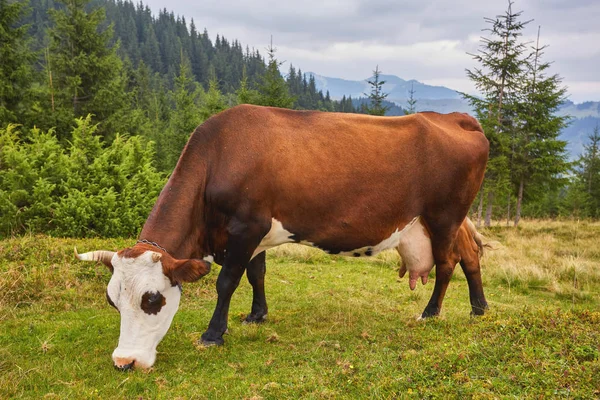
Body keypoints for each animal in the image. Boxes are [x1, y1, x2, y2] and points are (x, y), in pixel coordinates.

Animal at [75, 104, 490, 370]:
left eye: (153, 299)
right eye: (113, 301)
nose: (124, 361)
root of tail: (456, 118)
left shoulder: (247, 226)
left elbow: (227, 281)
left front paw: (213, 334)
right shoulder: (253, 233)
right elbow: (256, 273)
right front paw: (257, 315)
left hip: (443, 216)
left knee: (448, 262)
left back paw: (431, 313)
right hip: (446, 221)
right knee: (469, 255)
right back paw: (479, 309)